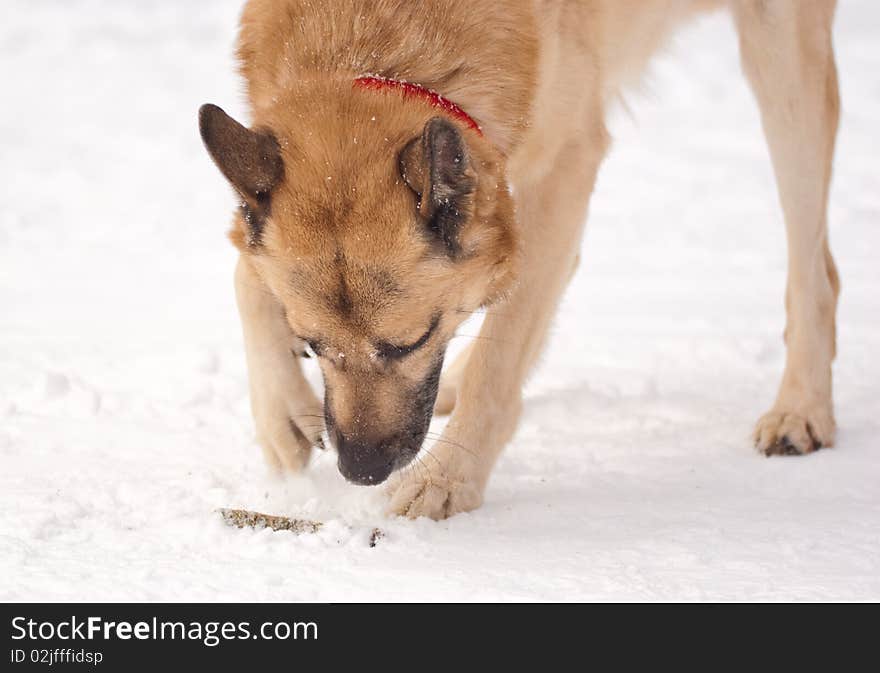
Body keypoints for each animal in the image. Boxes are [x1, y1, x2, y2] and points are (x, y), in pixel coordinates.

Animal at [198, 0, 840, 520]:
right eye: (311, 346)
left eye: (411, 342)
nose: (360, 470)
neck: (376, 42)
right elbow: (245, 273)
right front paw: (281, 413)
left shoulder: (563, 172)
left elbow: (498, 362)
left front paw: (449, 478)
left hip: (783, 64)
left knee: (817, 271)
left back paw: (801, 408)